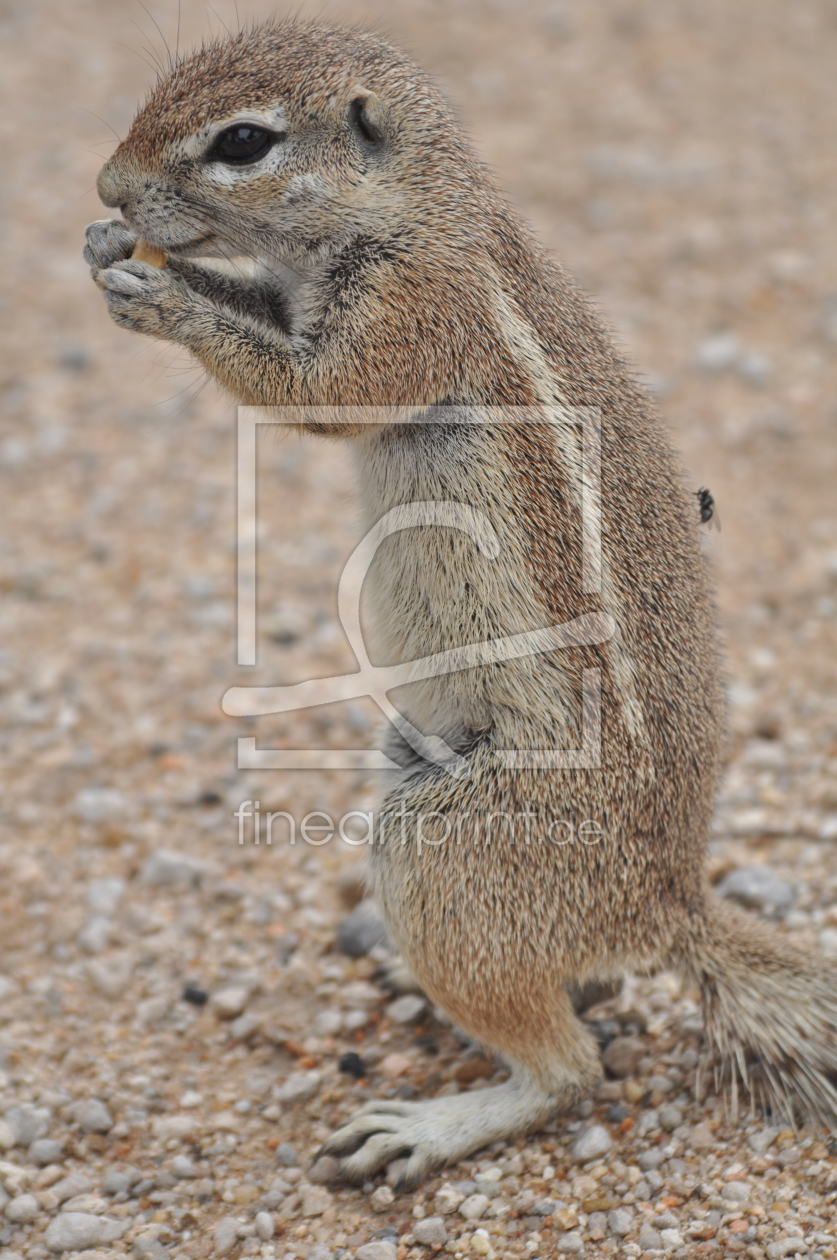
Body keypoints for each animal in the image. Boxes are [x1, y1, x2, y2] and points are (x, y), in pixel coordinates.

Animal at [83, 19, 837, 1179]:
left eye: (243, 141)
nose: (108, 188)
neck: (421, 208)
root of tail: (667, 908)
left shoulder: (410, 311)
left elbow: (314, 393)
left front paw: (159, 295)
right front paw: (107, 250)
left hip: (448, 844)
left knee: (571, 1071)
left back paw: (432, 1123)